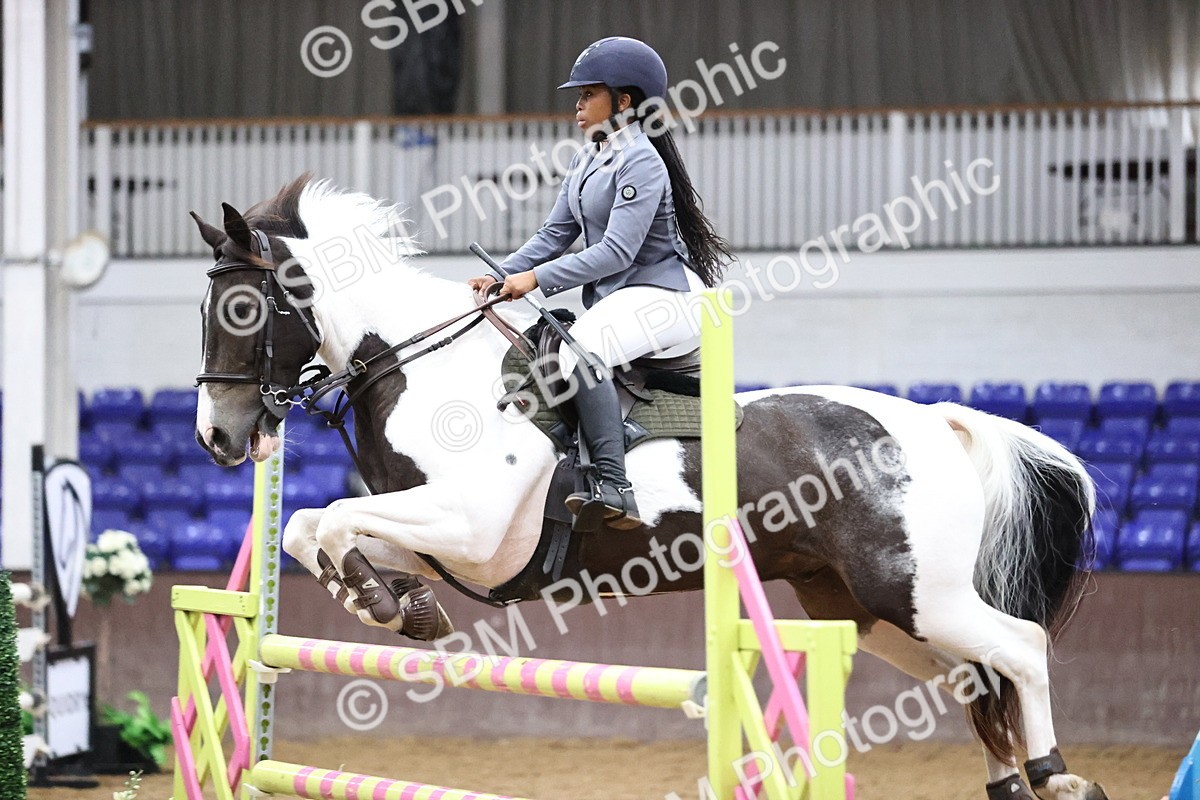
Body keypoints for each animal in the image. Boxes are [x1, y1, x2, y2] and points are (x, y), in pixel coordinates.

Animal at [191, 175, 1107, 800]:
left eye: (243, 311)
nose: (219, 438)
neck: (428, 370)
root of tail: (936, 423)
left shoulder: (474, 529)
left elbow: (325, 517)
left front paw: (382, 603)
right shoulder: (451, 539)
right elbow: (315, 528)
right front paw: (398, 604)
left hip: (916, 594)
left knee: (1020, 647)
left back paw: (1057, 774)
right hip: (864, 608)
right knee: (976, 680)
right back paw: (1007, 778)